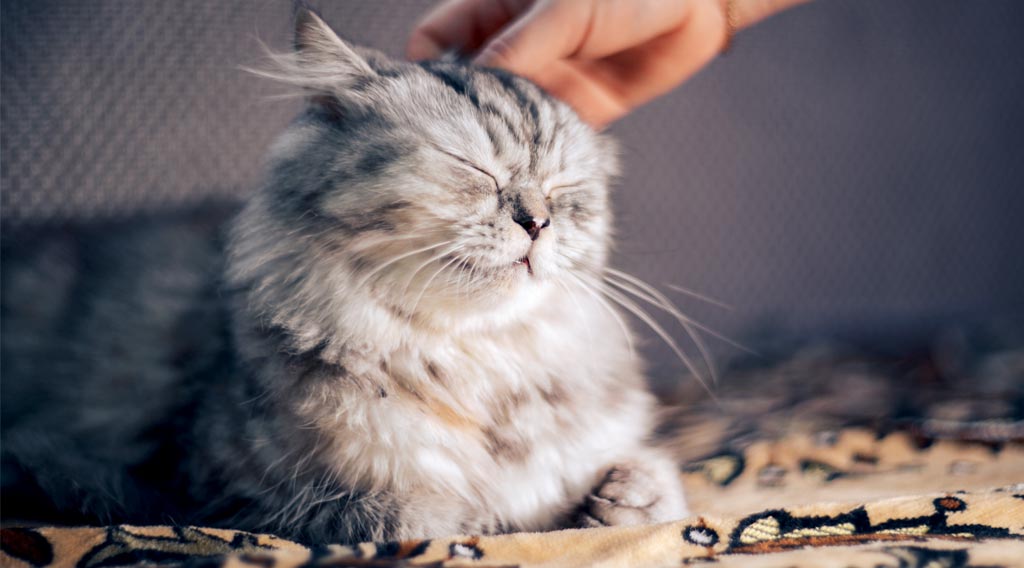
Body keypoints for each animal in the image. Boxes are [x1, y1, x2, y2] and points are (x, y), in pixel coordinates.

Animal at [2, 7, 688, 540]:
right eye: (473, 169)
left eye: (566, 191)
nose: (538, 222)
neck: (469, 365)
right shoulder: (226, 495)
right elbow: (414, 517)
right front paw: (482, 519)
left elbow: (652, 488)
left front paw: (619, 498)